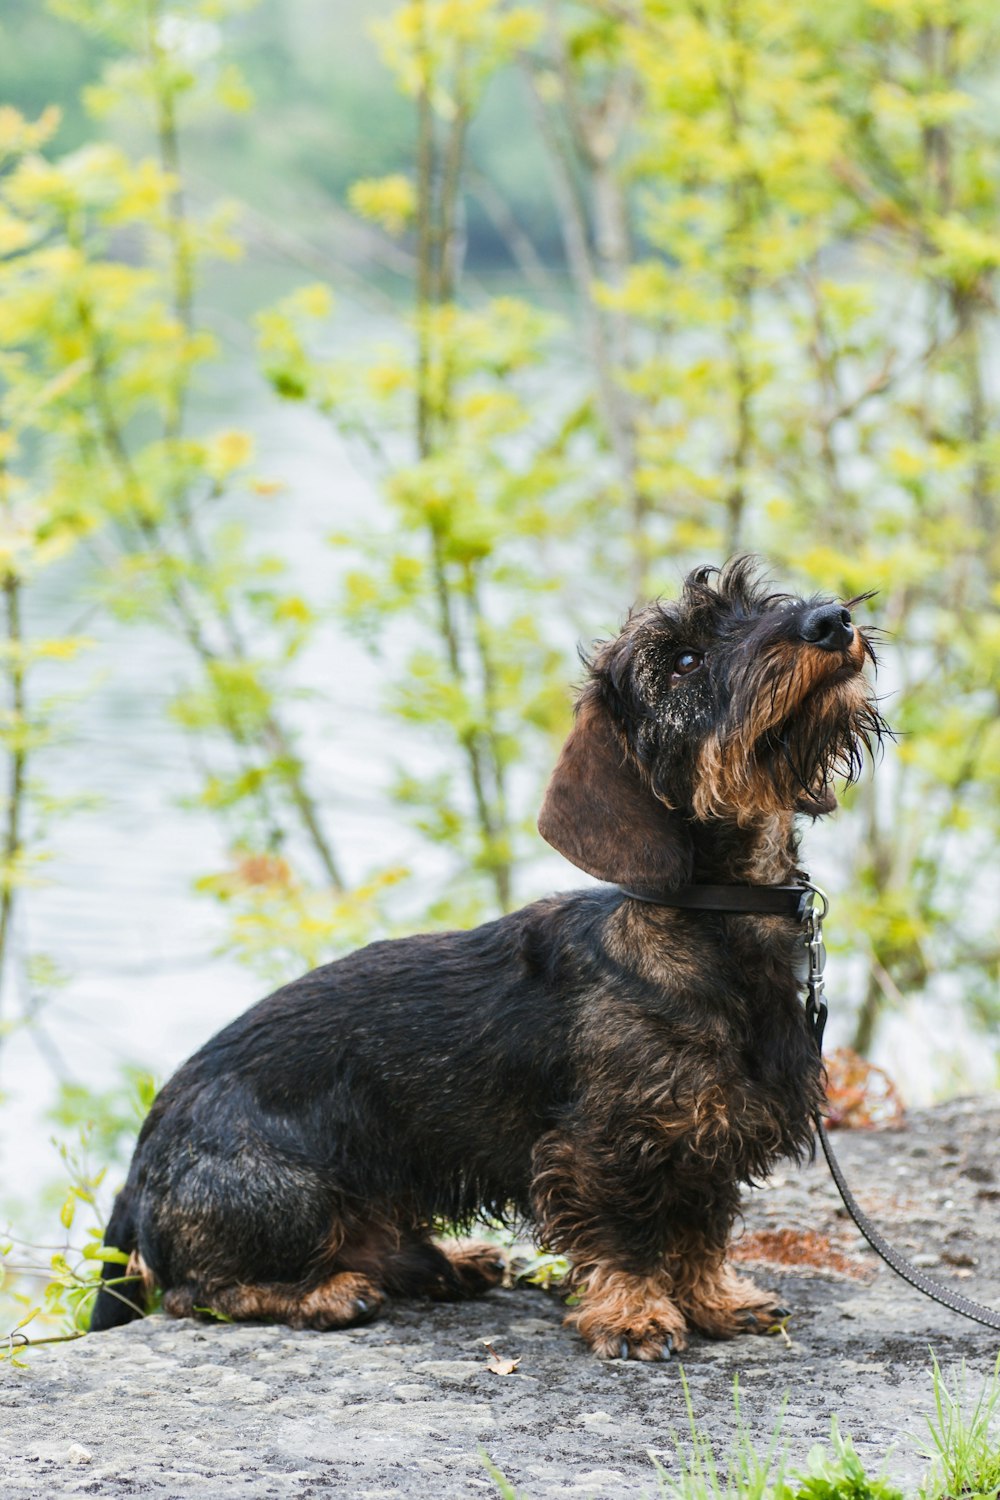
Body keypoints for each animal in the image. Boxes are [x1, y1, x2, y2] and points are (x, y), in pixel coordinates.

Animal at [89, 561, 881, 1362]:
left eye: (763, 600)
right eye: (684, 660)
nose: (829, 622)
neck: (715, 921)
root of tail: (137, 1170)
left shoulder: (708, 1139)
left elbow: (699, 1230)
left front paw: (716, 1299)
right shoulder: (603, 1145)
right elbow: (628, 1235)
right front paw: (635, 1315)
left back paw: (452, 1262)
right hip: (286, 1195)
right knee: (196, 1291)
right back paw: (328, 1294)